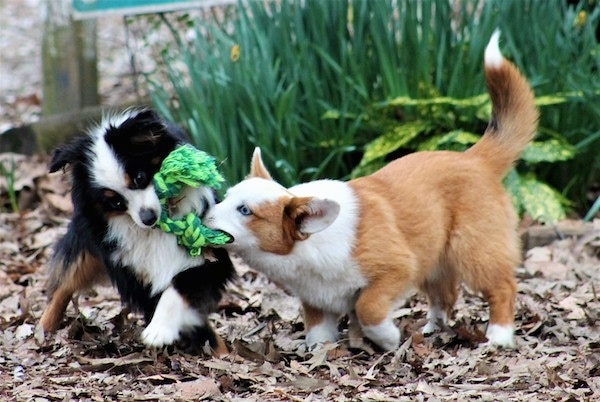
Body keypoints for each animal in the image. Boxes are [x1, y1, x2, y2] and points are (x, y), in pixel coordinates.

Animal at [39, 109, 234, 354]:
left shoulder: (207, 258)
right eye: (116, 203)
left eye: (139, 178)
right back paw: (43, 330)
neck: (156, 231)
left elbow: (180, 286)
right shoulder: (130, 267)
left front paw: (161, 331)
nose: (148, 218)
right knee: (65, 280)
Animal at [205, 33, 540, 350]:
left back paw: (498, 335)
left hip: (472, 251)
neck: (310, 244)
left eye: (245, 210)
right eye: (226, 197)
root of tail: (475, 158)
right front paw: (320, 352)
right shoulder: (316, 300)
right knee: (445, 294)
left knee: (503, 287)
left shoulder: (396, 269)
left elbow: (367, 308)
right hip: (435, 259)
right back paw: (432, 329)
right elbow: (317, 332)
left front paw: (388, 339)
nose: (203, 215)